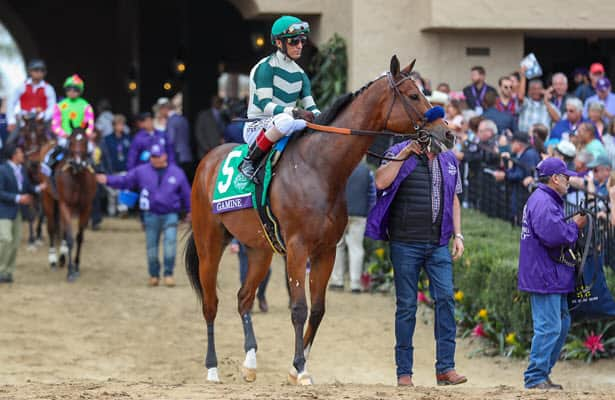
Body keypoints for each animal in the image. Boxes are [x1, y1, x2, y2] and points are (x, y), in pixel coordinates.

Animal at [41, 128, 96, 282]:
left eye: (85, 141)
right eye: (70, 141)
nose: (77, 163)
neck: (77, 178)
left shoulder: (86, 206)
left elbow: (79, 237)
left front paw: (76, 266)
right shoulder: (65, 204)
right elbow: (70, 238)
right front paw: (70, 271)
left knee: (63, 230)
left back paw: (62, 257)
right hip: (47, 197)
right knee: (52, 228)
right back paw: (53, 260)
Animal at [183, 56, 452, 384]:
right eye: (414, 95)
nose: (447, 133)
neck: (318, 168)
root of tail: (207, 162)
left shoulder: (326, 250)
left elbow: (318, 309)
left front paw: (296, 367)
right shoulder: (298, 248)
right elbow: (299, 307)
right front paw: (300, 368)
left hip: (259, 248)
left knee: (244, 297)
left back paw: (250, 364)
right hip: (209, 242)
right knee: (211, 304)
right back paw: (212, 368)